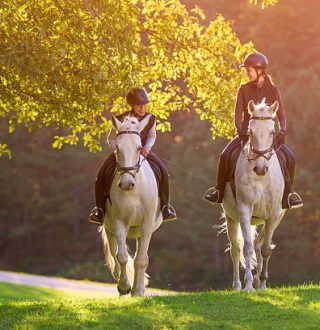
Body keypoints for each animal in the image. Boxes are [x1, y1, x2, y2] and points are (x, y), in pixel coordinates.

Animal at [98, 113, 162, 296]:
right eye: (118, 148)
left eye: (139, 148)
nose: (126, 184)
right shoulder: (118, 223)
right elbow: (121, 257)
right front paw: (124, 286)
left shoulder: (147, 224)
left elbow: (141, 259)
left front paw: (138, 291)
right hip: (110, 230)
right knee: (115, 253)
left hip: (141, 232)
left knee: (140, 257)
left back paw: (137, 289)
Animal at [222, 100, 284, 292]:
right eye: (251, 132)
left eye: (272, 131)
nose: (260, 168)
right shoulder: (244, 210)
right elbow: (247, 248)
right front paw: (248, 284)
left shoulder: (273, 214)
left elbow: (265, 249)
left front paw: (262, 282)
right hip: (231, 217)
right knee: (235, 249)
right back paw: (237, 285)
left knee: (259, 243)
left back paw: (258, 280)